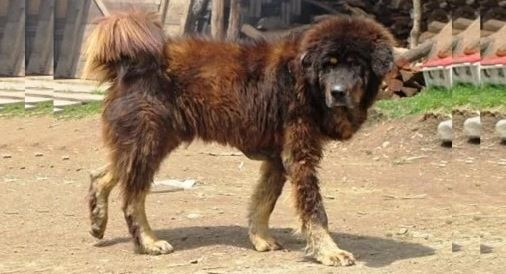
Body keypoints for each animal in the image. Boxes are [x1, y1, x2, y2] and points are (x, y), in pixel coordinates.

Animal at [86, 11, 396, 266]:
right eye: (328, 65)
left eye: (355, 64)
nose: (338, 91)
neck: (306, 81)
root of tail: (131, 63)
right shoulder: (299, 156)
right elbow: (314, 210)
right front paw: (329, 251)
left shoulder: (278, 158)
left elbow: (263, 202)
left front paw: (260, 238)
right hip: (149, 141)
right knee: (132, 198)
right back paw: (148, 242)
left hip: (152, 141)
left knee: (104, 174)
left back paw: (98, 218)